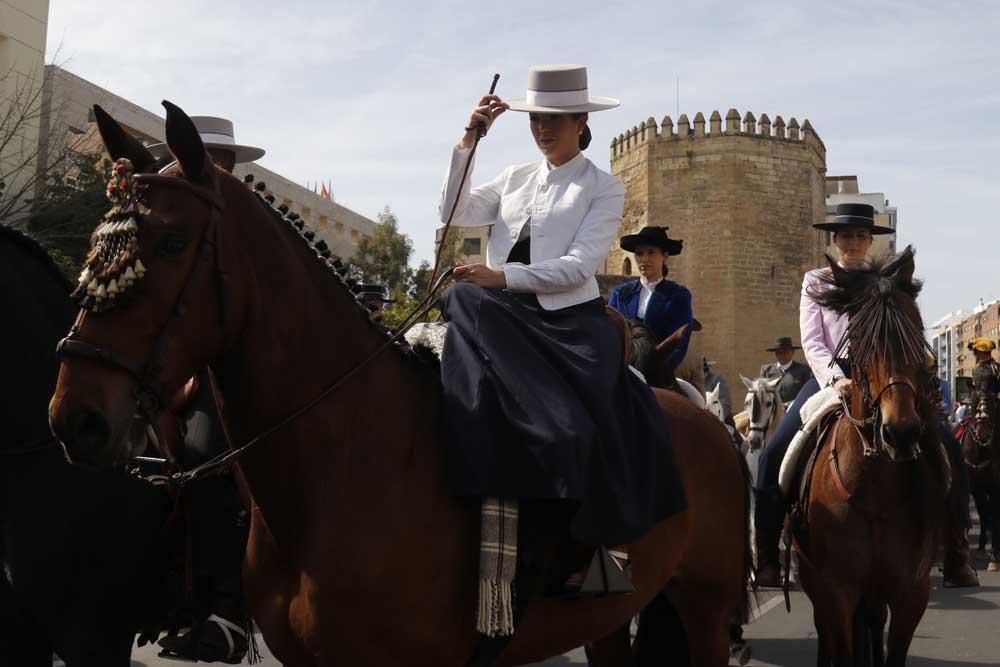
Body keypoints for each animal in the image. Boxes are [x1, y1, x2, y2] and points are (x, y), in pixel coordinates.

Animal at [47, 102, 752, 664]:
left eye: (171, 243)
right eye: (98, 240)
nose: (76, 417)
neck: (351, 458)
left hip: (707, 609)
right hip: (610, 617)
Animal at [792, 249, 948, 667]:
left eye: (916, 331)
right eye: (860, 337)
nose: (902, 431)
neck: (874, 487)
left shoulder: (911, 592)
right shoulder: (837, 590)